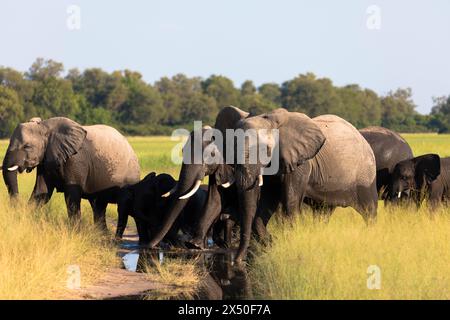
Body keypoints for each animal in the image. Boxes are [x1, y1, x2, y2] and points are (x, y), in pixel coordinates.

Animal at [1, 116, 140, 229]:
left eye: (27, 147)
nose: (17, 205)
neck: (46, 127)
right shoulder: (46, 159)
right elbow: (41, 192)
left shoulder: (76, 159)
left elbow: (71, 195)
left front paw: (75, 232)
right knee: (98, 205)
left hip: (129, 176)